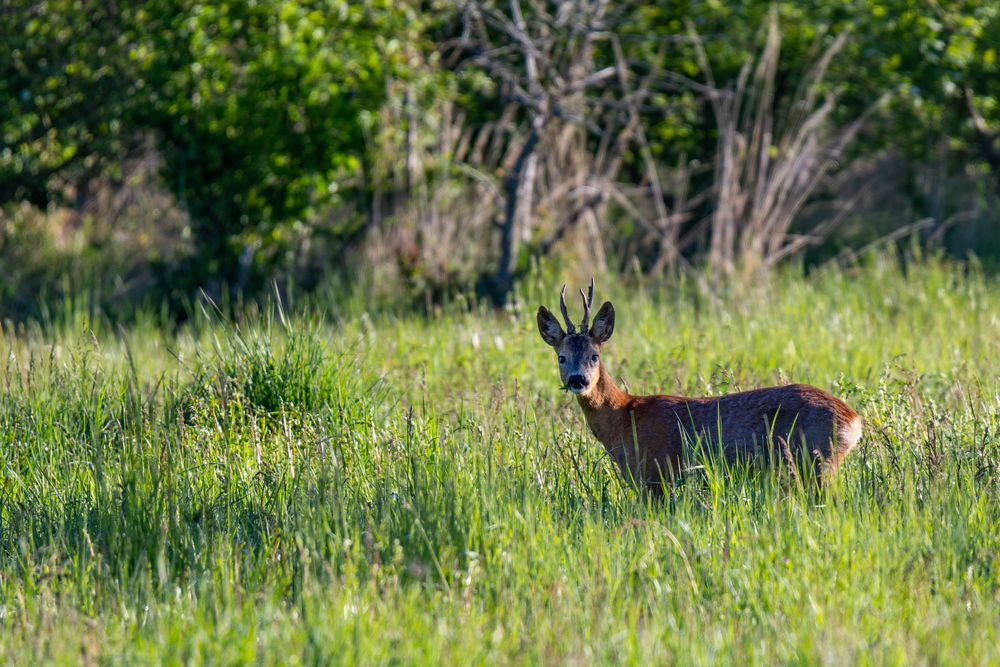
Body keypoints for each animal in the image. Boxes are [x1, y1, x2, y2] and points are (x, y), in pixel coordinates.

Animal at [536, 280, 864, 494]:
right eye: (562, 357)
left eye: (595, 355)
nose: (578, 380)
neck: (624, 417)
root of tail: (853, 419)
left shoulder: (656, 474)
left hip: (817, 460)